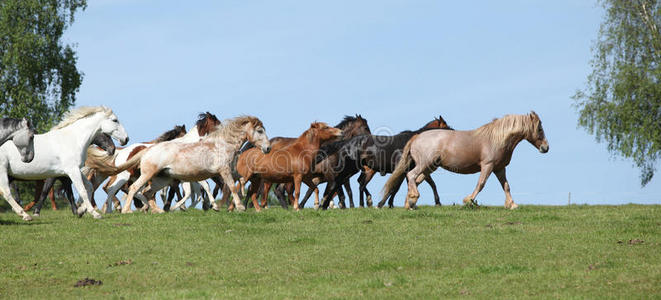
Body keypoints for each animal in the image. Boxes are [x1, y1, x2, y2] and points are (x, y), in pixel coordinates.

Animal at [0, 106, 128, 220]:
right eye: (115, 120)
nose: (126, 139)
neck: (72, 140)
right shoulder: (71, 171)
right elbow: (82, 191)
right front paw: (95, 214)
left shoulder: (71, 172)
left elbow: (89, 187)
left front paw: (81, 211)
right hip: (3, 171)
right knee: (6, 192)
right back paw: (25, 215)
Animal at [109, 116, 270, 212]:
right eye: (260, 131)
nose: (268, 148)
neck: (222, 144)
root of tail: (148, 149)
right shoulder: (223, 171)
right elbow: (230, 186)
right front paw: (239, 206)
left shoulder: (230, 171)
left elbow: (240, 180)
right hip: (148, 175)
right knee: (134, 188)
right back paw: (127, 210)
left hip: (162, 179)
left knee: (147, 193)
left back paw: (158, 211)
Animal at [378, 111, 548, 210]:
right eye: (540, 128)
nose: (546, 147)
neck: (496, 139)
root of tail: (416, 137)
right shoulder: (488, 166)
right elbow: (481, 184)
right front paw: (469, 200)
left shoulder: (499, 168)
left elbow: (506, 186)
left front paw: (512, 204)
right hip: (424, 164)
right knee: (411, 176)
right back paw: (413, 198)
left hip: (430, 167)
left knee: (417, 180)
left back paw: (410, 204)